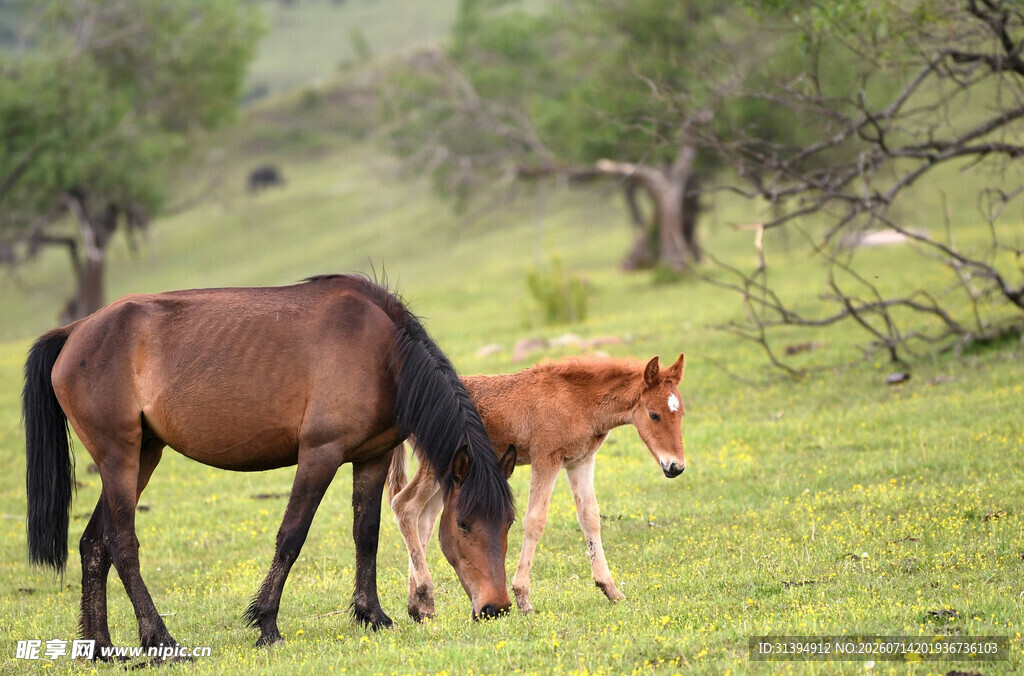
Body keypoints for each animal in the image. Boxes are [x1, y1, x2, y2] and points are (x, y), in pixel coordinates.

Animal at [23, 274, 516, 657]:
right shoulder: (320, 454)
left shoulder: (372, 458)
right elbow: (291, 536)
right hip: (119, 456)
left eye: (508, 522)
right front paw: (266, 624)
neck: (380, 350)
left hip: (142, 455)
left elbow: (367, 534)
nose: (497, 608)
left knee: (94, 544)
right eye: (464, 524)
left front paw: (371, 614)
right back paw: (160, 640)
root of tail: (75, 331)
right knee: (122, 544)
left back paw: (101, 648)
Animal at [387, 353, 686, 620]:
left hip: (450, 475)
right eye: (654, 415)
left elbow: (590, 518)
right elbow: (535, 520)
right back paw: (423, 597)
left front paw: (610, 590)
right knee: (404, 506)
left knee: (424, 519)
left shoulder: (581, 460)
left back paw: (418, 605)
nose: (676, 467)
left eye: (681, 413)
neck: (577, 400)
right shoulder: (546, 457)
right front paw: (523, 599)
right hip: (436, 467)